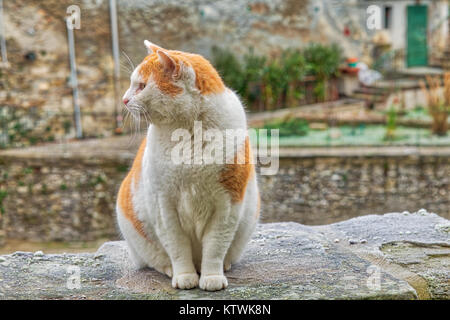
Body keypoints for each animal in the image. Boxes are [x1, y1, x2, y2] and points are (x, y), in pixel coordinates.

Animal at [115, 39, 260, 290]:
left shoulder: (228, 205)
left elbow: (215, 246)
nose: (124, 99)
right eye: (134, 84)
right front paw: (184, 276)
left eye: (142, 86)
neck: (188, 130)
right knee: (157, 259)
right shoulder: (164, 206)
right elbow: (177, 247)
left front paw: (212, 277)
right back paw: (169, 269)